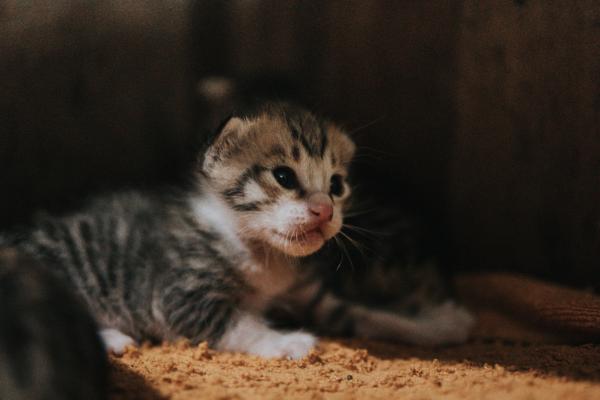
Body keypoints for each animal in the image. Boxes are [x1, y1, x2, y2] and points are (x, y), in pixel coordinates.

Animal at [7, 101, 472, 360]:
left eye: (337, 185)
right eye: (283, 177)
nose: (324, 211)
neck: (263, 255)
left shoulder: (308, 294)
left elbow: (361, 312)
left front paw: (436, 325)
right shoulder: (181, 296)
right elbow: (239, 324)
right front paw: (288, 343)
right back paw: (112, 339)